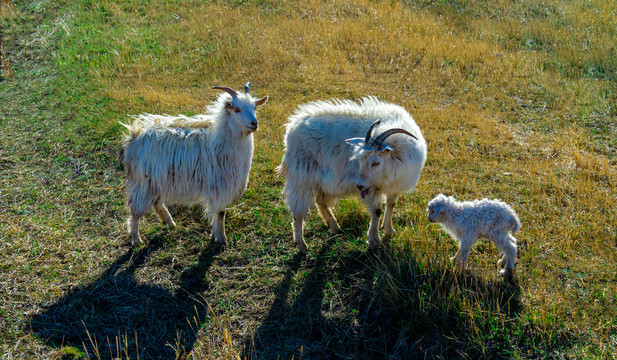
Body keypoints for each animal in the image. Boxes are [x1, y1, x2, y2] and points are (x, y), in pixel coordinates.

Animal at [120, 82, 268, 245]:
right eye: (236, 109)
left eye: (254, 108)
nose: (254, 123)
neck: (221, 142)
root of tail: (134, 138)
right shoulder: (221, 186)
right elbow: (221, 212)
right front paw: (221, 239)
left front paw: (215, 234)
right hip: (144, 182)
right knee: (135, 210)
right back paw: (136, 239)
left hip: (155, 181)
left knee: (157, 203)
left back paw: (170, 223)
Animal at [276, 97, 426, 252]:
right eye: (359, 161)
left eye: (376, 163)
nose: (358, 186)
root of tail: (291, 127)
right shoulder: (372, 188)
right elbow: (377, 211)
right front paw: (374, 240)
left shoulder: (395, 186)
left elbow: (391, 205)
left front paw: (389, 231)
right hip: (301, 177)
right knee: (298, 213)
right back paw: (302, 244)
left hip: (320, 182)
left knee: (320, 202)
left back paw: (334, 227)